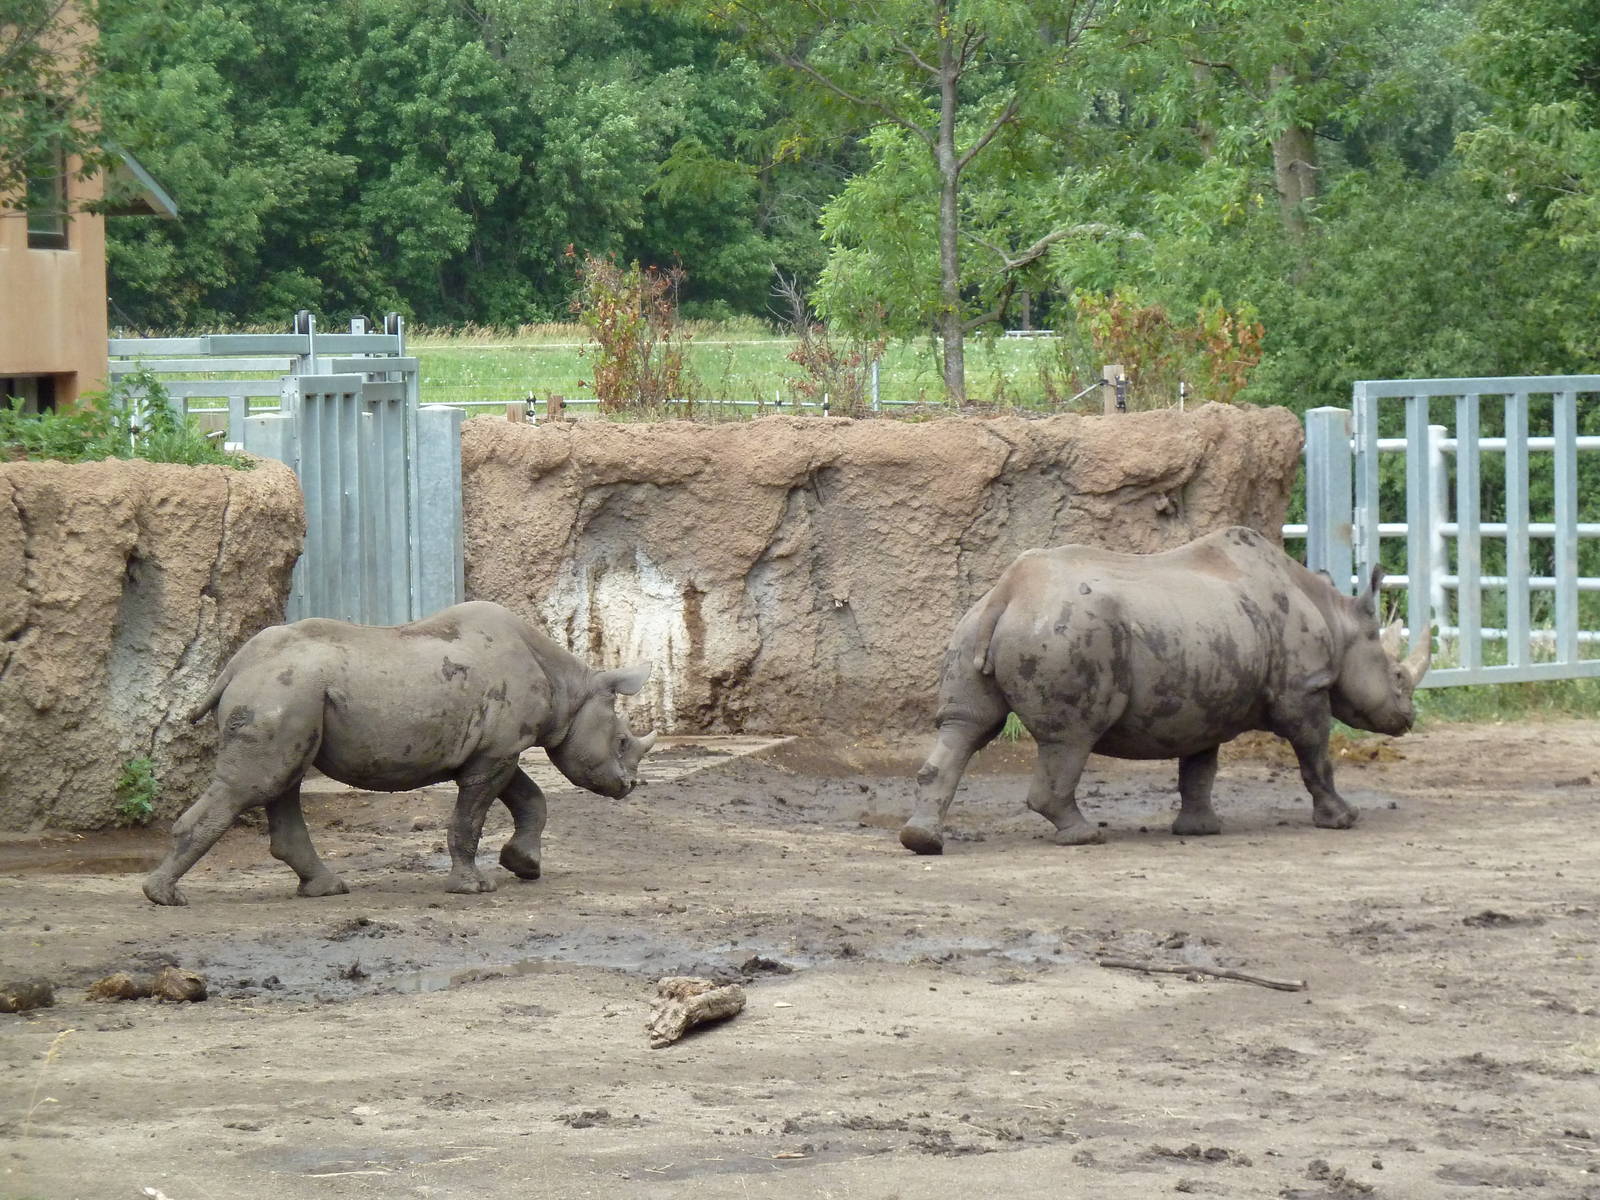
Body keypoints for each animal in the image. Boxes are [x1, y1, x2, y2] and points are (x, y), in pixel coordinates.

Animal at [143, 601, 657, 905]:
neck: (572, 687)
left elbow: (532, 800)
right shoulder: (496, 752)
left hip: (291, 694)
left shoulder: (497, 748)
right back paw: (164, 897)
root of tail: (235, 666)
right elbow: (471, 819)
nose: (630, 786)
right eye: (622, 741)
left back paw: (326, 890)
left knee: (281, 781)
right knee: (255, 784)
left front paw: (523, 866)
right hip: (282, 690)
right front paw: (474, 887)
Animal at [899, 526, 1430, 854]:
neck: (1336, 621)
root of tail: (1009, 593)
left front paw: (1201, 830)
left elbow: (1199, 768)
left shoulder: (1207, 695)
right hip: (1069, 631)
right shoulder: (1302, 690)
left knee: (965, 726)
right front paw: (1343, 819)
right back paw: (1085, 837)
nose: (1409, 719)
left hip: (976, 623)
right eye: (1397, 677)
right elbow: (1315, 756)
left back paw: (922, 841)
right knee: (1070, 737)